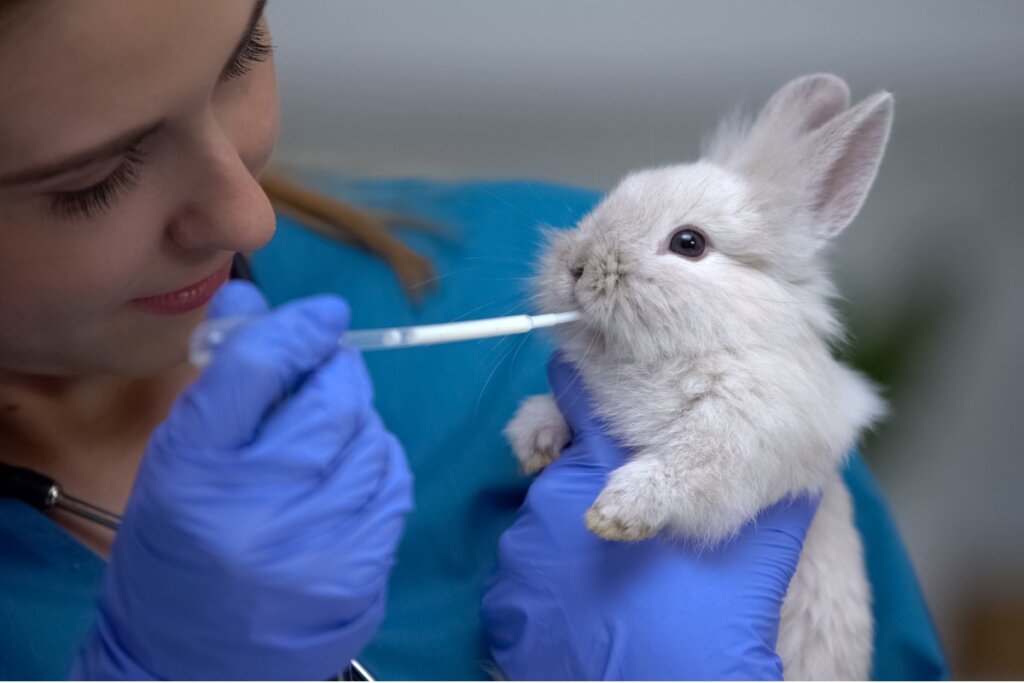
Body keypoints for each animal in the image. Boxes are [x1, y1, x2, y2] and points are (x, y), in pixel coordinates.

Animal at [507, 74, 892, 679]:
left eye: (689, 243)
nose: (576, 267)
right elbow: (551, 410)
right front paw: (534, 442)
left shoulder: (750, 434)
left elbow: (685, 468)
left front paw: (613, 513)